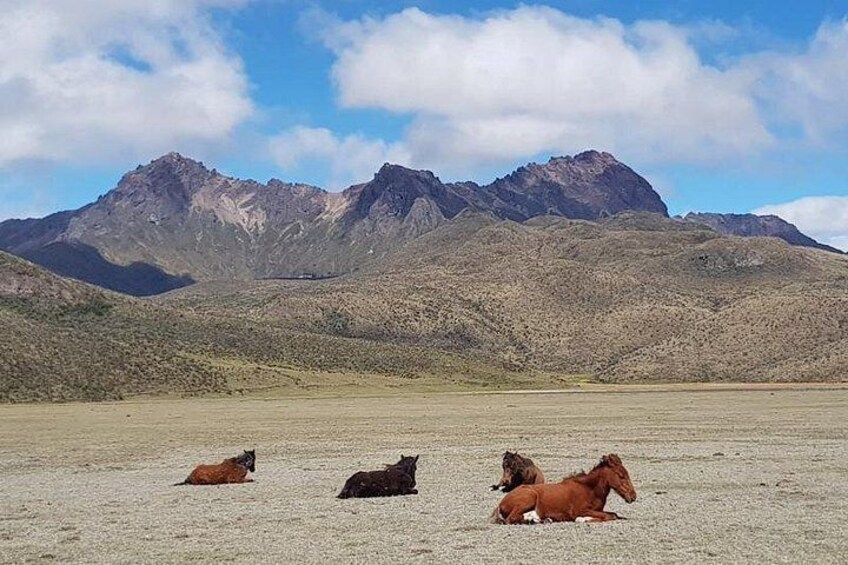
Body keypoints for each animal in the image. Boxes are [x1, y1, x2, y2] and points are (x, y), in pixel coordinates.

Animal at [491, 454, 636, 524]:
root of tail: (501, 503)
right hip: (529, 498)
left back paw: (542, 520)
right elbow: (609, 516)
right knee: (511, 519)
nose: (633, 496)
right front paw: (582, 519)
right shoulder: (581, 510)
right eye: (621, 475)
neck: (589, 489)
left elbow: (613, 514)